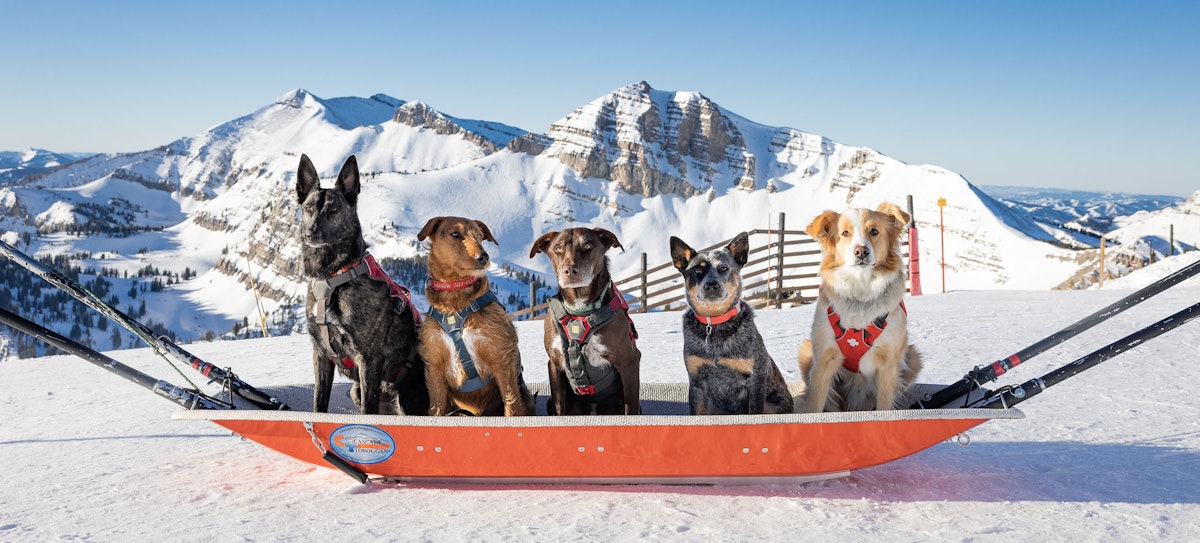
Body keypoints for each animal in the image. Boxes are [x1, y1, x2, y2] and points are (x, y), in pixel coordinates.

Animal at [297, 153, 429, 415]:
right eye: (308, 208)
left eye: (334, 209)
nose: (311, 234)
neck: (332, 276)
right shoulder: (320, 353)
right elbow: (319, 401)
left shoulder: (367, 358)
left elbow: (369, 409)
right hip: (355, 390)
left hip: (407, 398)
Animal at [420, 215, 537, 415]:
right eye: (455, 234)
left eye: (480, 236)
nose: (483, 256)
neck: (455, 303)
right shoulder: (435, 364)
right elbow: (436, 408)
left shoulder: (501, 359)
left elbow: (511, 404)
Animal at [532, 227, 643, 413]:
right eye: (557, 248)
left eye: (588, 246)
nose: (570, 271)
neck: (580, 310)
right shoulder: (554, 364)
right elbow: (559, 407)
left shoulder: (629, 362)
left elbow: (631, 408)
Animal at [801, 204, 921, 410]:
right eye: (845, 233)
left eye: (874, 231)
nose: (861, 252)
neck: (860, 292)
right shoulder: (824, 359)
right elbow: (814, 406)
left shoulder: (888, 363)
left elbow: (884, 406)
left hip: (913, 357)